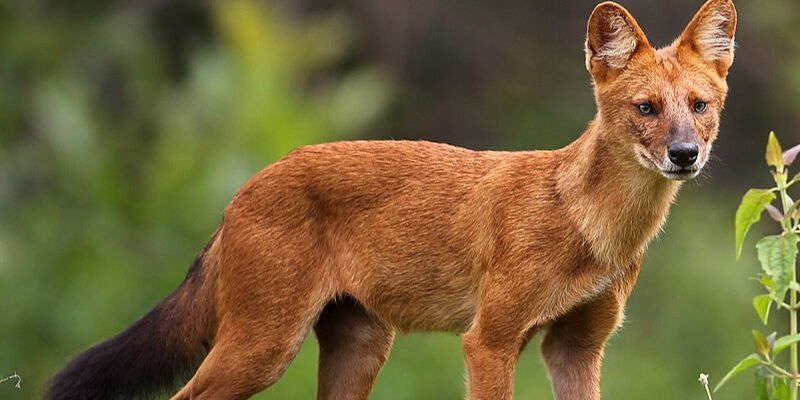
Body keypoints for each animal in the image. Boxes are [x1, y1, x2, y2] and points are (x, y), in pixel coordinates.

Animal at [47, 0, 736, 398]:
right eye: (645, 108)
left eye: (699, 106)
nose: (684, 155)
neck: (593, 228)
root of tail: (245, 188)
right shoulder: (490, 340)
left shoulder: (576, 349)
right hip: (262, 348)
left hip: (359, 350)